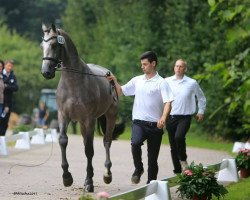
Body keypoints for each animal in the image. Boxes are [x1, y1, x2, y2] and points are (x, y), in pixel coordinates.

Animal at [40, 23, 125, 192]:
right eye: (42, 46)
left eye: (54, 45)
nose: (46, 72)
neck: (74, 82)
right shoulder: (63, 116)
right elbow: (63, 141)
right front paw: (67, 178)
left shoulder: (89, 119)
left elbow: (89, 150)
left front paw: (90, 184)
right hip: (81, 123)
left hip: (110, 116)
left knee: (106, 141)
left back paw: (107, 175)